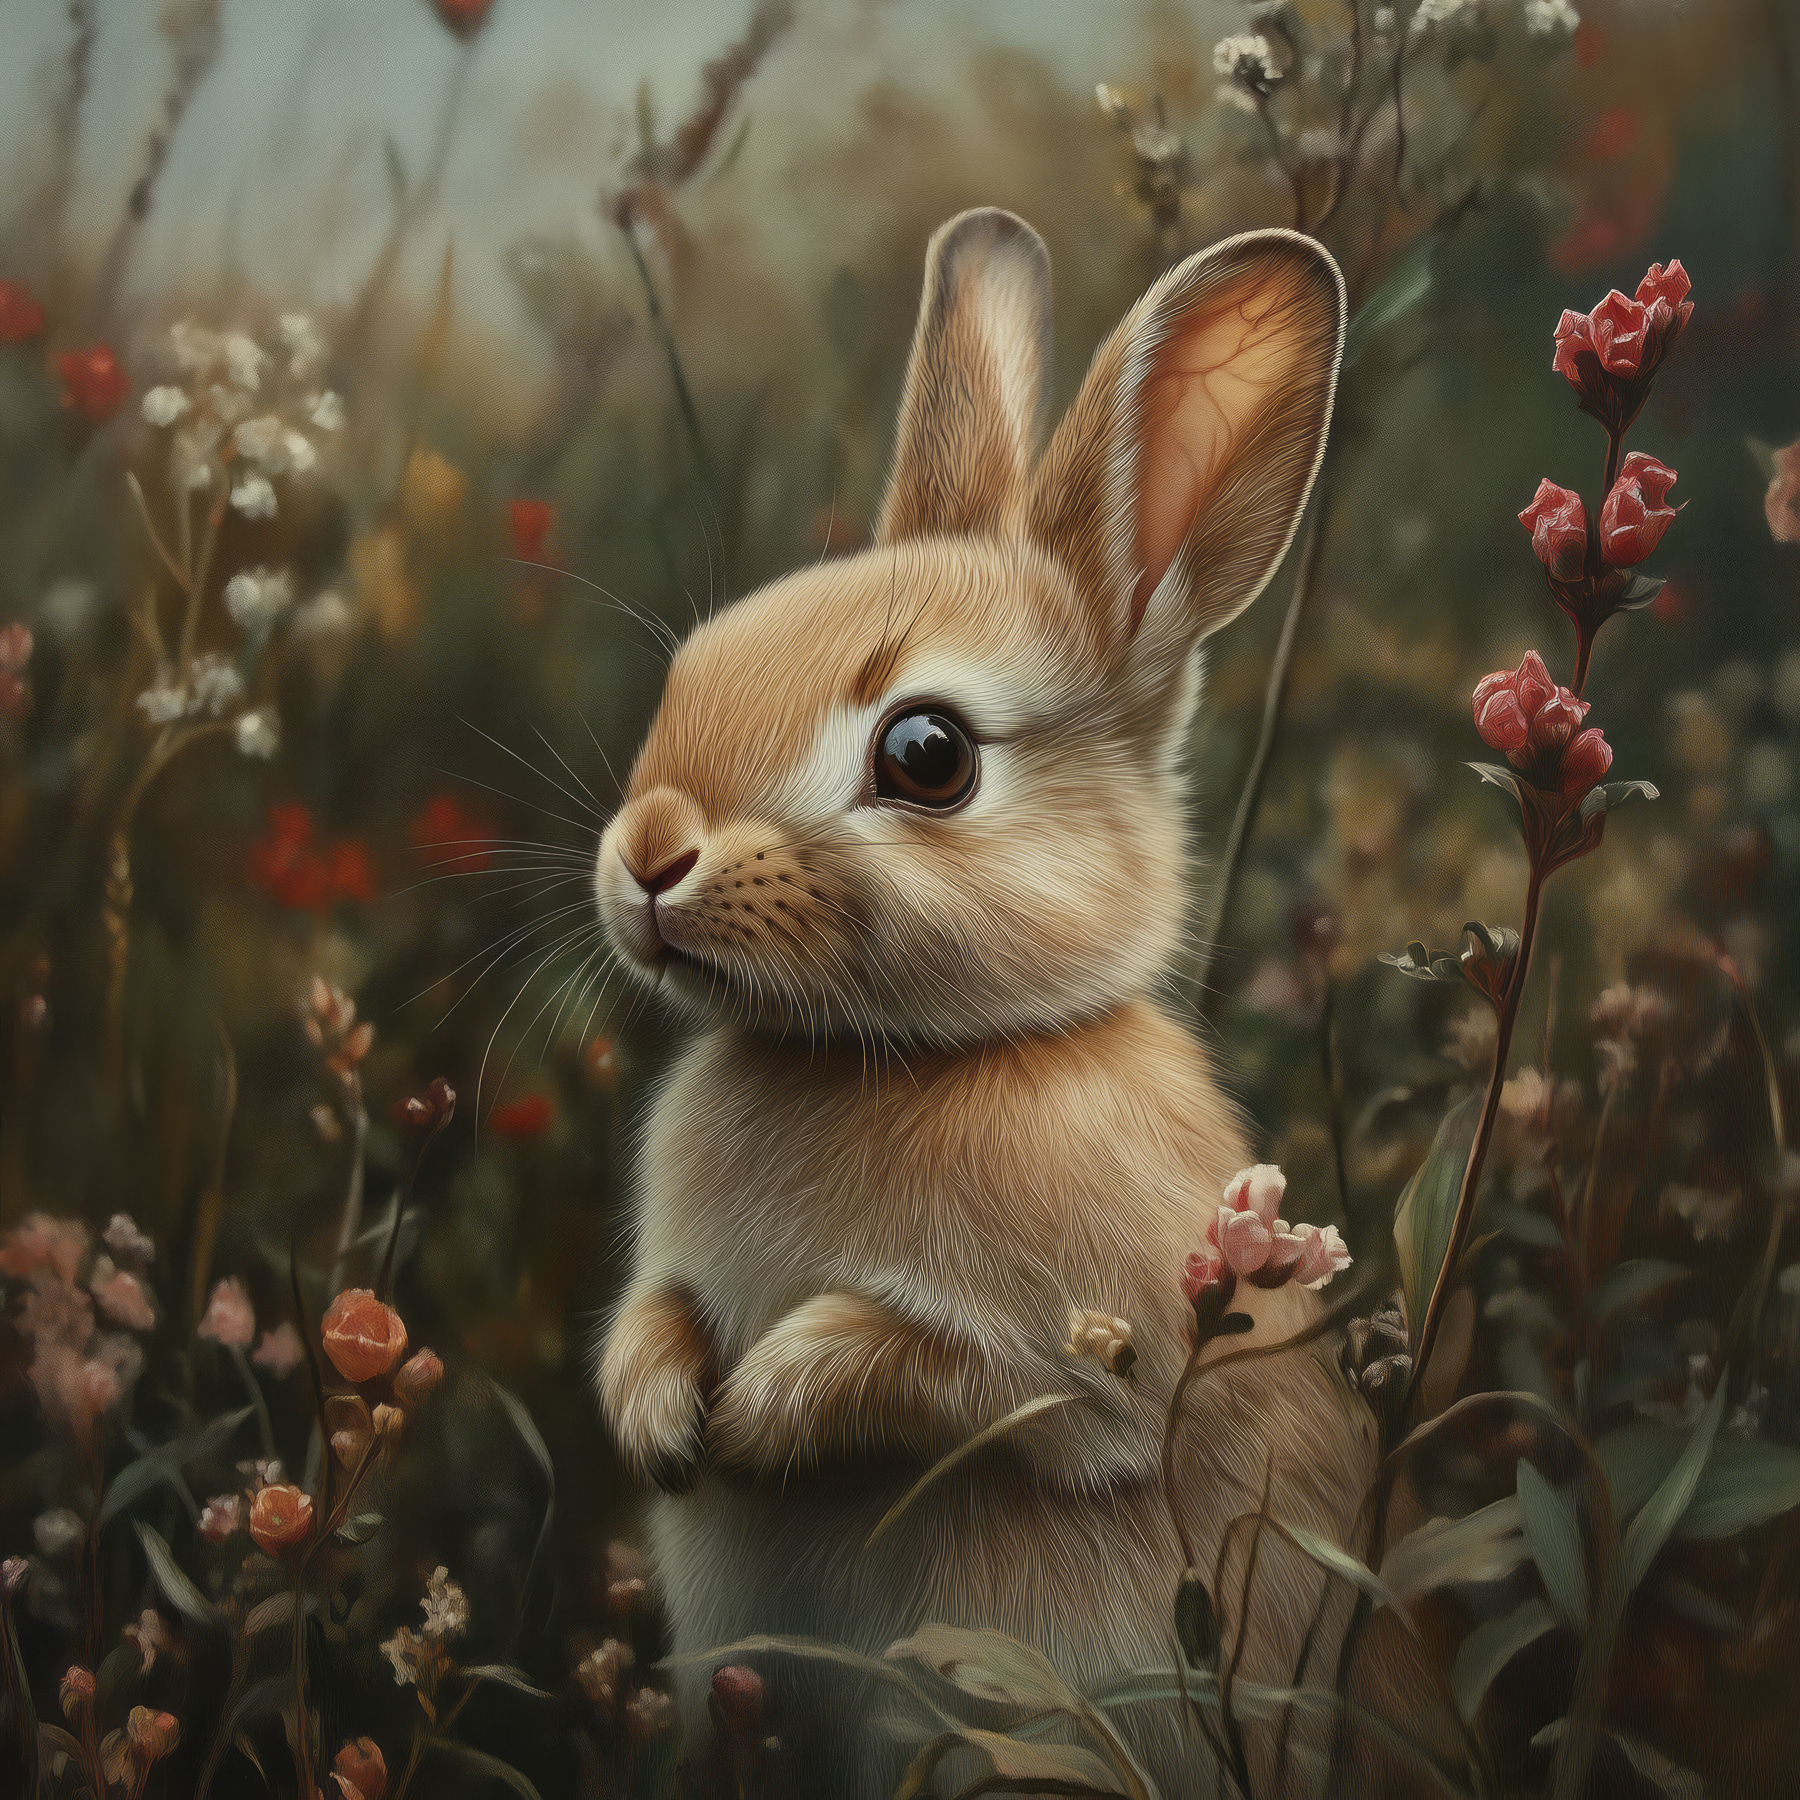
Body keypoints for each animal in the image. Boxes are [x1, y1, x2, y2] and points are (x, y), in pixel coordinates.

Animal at [593, 208, 1384, 1796]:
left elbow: (947, 1375)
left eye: (927, 754)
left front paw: (760, 1411)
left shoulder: (1088, 1361)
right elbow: (647, 1319)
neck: (896, 1058)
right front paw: (662, 1417)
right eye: (692, 667)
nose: (645, 856)